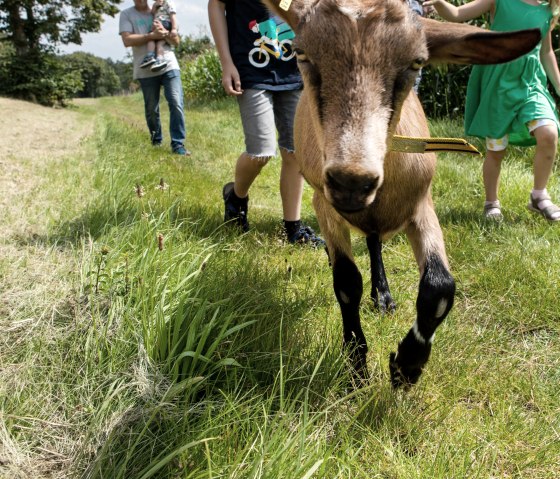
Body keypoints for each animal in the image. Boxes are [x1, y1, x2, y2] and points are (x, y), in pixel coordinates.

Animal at [264, 0, 540, 388]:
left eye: (417, 63)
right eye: (300, 52)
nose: (352, 181)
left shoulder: (421, 204)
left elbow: (440, 287)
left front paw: (407, 365)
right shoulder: (324, 202)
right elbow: (346, 282)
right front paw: (358, 369)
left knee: (375, 243)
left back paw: (384, 298)